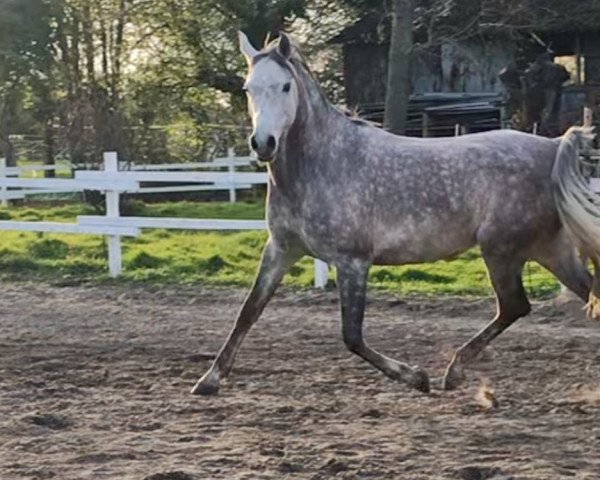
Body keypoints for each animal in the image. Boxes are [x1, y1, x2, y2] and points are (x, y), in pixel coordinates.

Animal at [191, 31, 600, 396]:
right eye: (248, 88)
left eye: (286, 87)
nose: (263, 143)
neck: (322, 163)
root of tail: (552, 146)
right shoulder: (281, 249)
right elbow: (249, 311)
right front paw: (208, 381)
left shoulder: (352, 261)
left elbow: (352, 336)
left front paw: (416, 377)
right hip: (547, 249)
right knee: (579, 295)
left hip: (502, 250)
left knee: (515, 305)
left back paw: (453, 373)